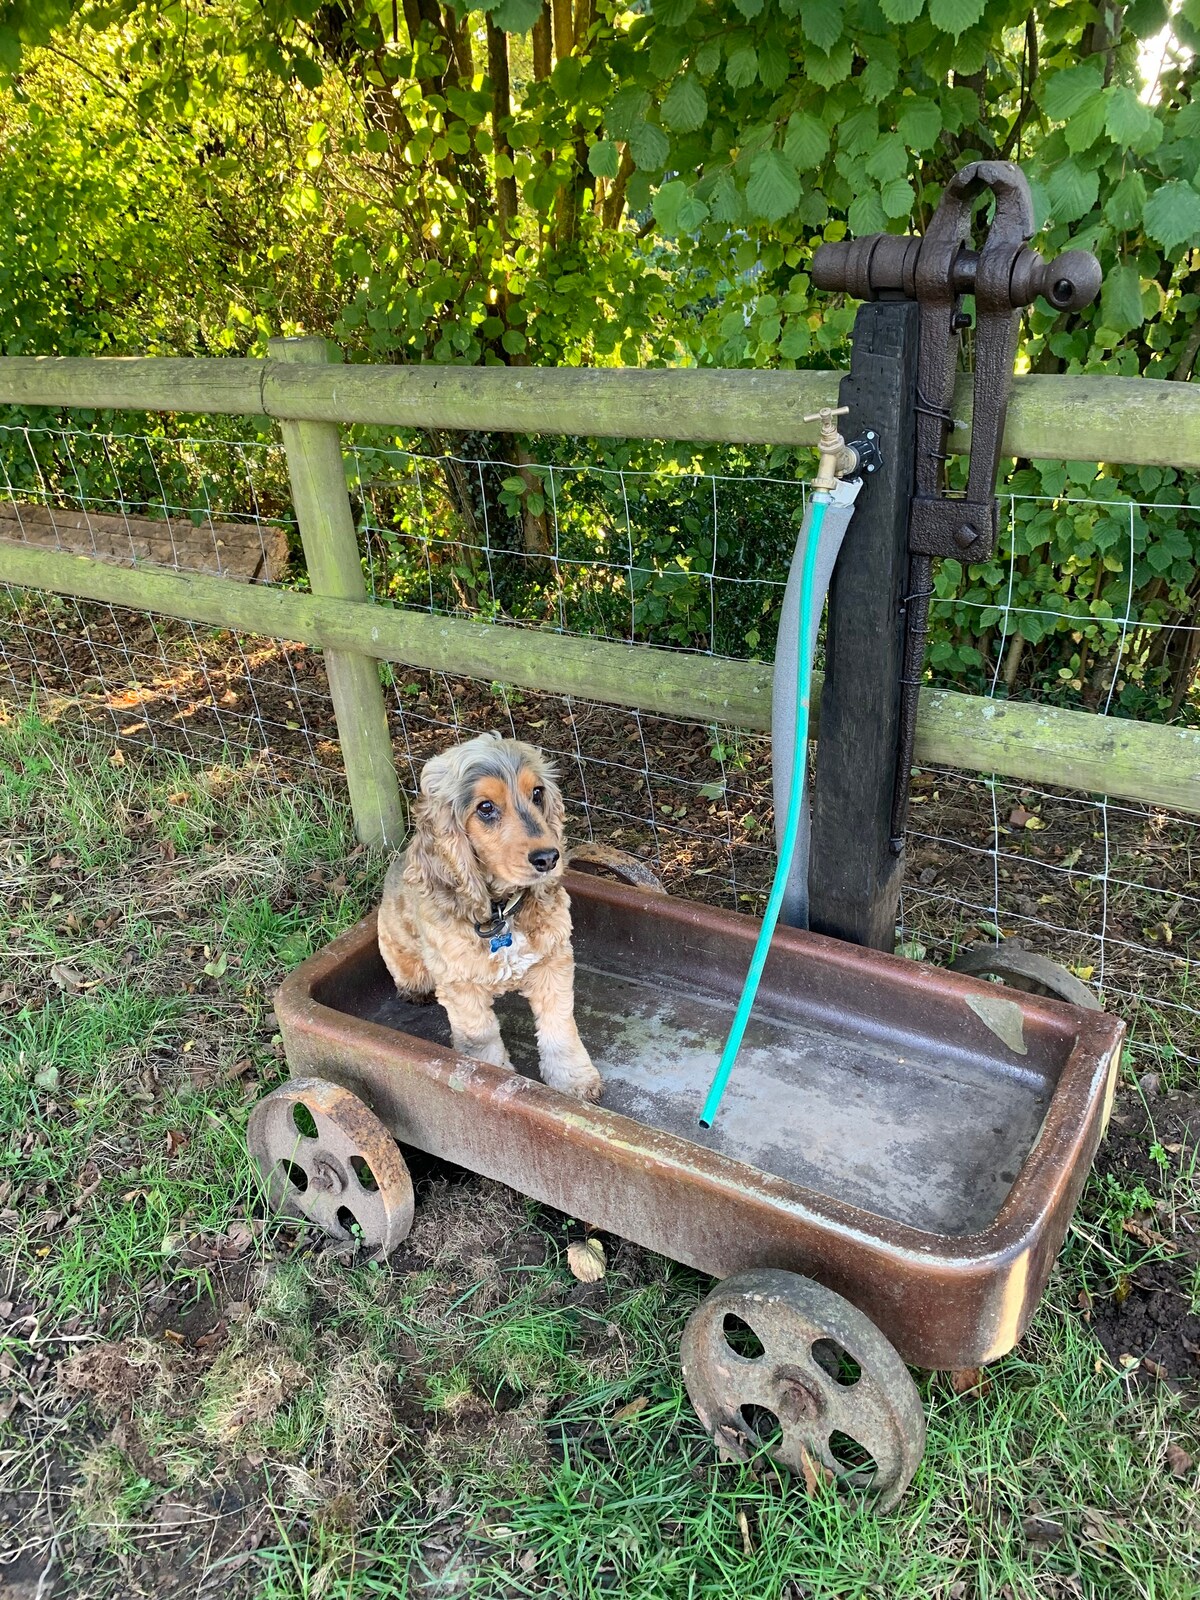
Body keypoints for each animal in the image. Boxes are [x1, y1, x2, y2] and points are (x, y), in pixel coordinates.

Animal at [377, 732, 601, 1100]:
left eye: (537, 793)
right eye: (485, 808)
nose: (548, 858)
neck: (501, 911)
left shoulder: (553, 960)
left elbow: (559, 1025)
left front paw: (573, 1079)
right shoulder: (460, 984)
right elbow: (480, 1039)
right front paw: (489, 1083)